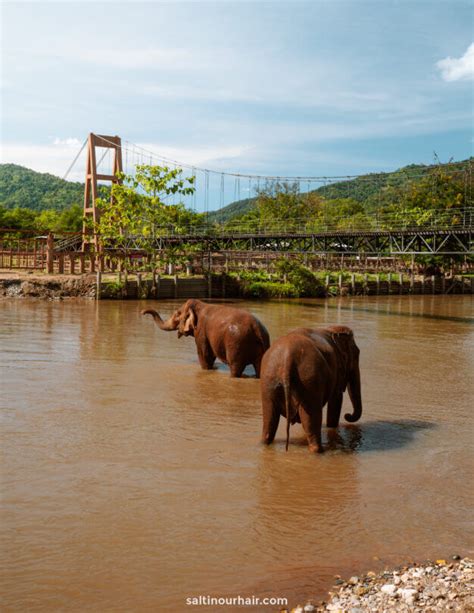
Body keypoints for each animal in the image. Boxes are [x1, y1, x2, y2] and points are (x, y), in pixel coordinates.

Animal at [141, 298, 270, 376]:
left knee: (235, 368)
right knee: (259, 368)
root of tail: (257, 329)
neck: (200, 304)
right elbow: (210, 355)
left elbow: (204, 354)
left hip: (237, 345)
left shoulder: (201, 331)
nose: (142, 312)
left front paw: (205, 369)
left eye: (177, 314)